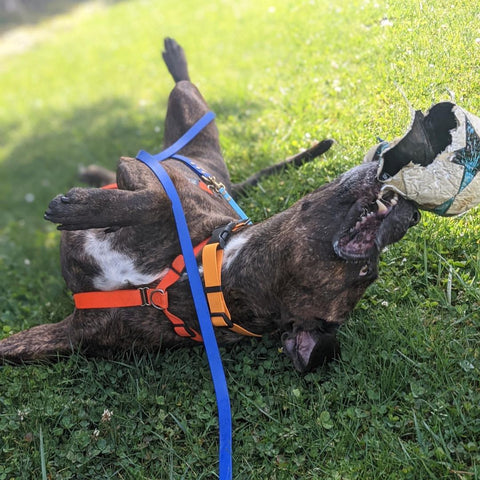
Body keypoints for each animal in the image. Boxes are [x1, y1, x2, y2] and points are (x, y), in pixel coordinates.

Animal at [0, 39, 420, 374]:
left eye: (366, 268)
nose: (411, 215)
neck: (206, 277)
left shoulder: (76, 332)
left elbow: (153, 201)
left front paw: (74, 208)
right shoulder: (149, 174)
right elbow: (151, 200)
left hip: (189, 124)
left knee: (183, 89)